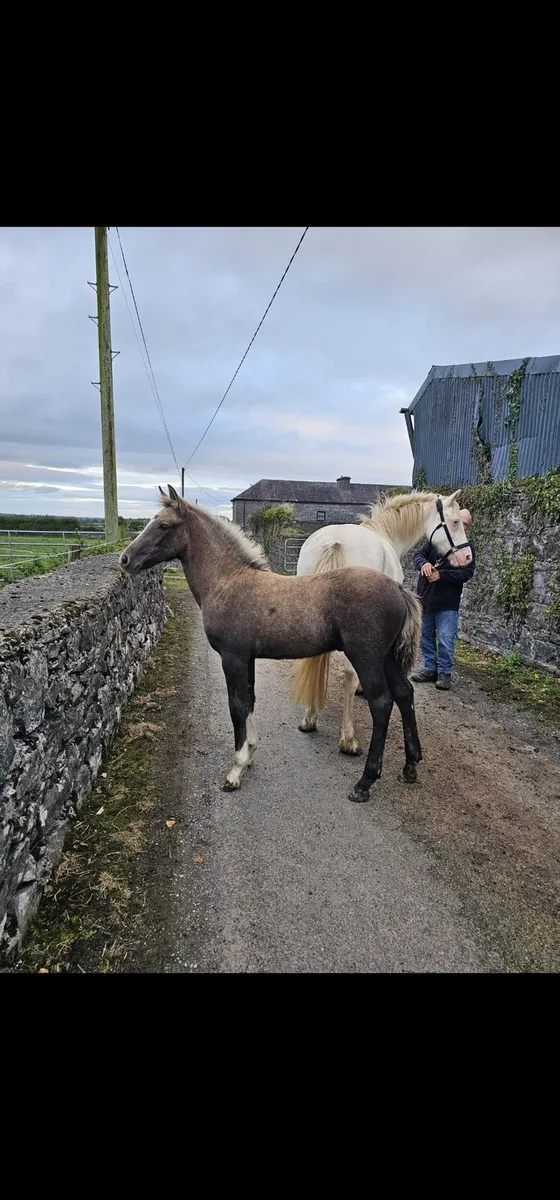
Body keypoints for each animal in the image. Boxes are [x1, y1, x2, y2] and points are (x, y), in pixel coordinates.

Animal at [119, 485, 423, 804]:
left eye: (164, 525)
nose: (125, 559)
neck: (227, 581)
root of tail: (399, 589)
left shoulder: (232, 657)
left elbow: (237, 705)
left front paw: (236, 769)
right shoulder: (247, 658)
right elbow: (250, 699)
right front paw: (250, 753)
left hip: (366, 657)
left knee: (381, 702)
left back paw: (364, 782)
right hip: (386, 657)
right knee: (404, 693)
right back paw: (410, 766)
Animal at [290, 489, 472, 755]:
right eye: (456, 521)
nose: (467, 557)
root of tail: (336, 543)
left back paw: (309, 719)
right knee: (349, 672)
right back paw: (348, 739)